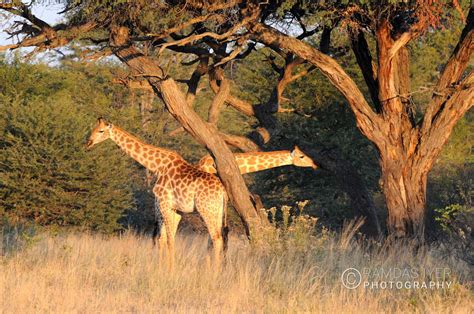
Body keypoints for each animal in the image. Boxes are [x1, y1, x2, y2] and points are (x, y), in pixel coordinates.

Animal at [86, 118, 229, 264]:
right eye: (93, 129)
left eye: (101, 131)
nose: (88, 142)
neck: (157, 166)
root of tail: (222, 191)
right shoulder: (175, 209)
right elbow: (167, 239)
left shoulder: (165, 204)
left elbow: (168, 240)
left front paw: (170, 269)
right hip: (217, 211)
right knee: (219, 238)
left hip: (206, 210)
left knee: (216, 238)